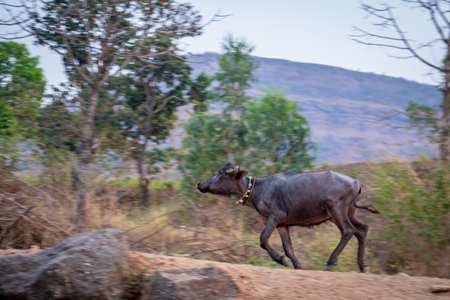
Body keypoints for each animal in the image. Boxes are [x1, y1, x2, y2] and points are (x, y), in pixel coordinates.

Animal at [199, 163, 378, 274]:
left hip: (336, 211)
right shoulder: (282, 225)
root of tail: (356, 183)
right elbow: (289, 248)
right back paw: (363, 266)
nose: (200, 184)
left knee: (348, 231)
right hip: (347, 213)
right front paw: (298, 266)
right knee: (362, 230)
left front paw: (281, 260)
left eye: (221, 173)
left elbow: (263, 239)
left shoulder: (274, 218)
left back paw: (330, 263)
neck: (258, 188)